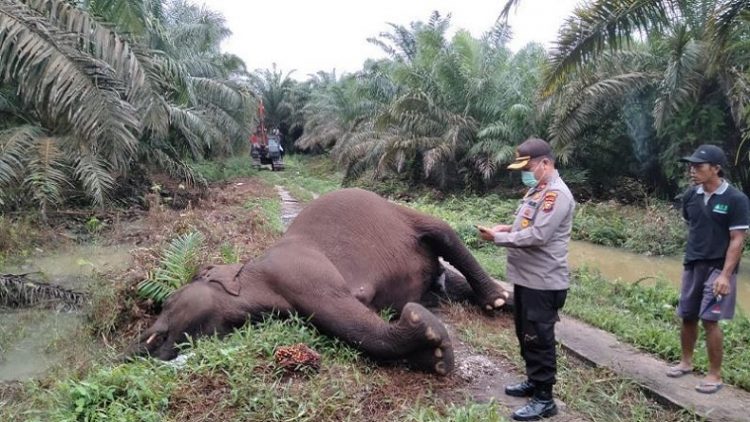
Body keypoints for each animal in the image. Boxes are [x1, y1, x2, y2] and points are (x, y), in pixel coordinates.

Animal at [128, 188, 512, 376]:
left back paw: (496, 299)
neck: (252, 272)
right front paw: (432, 355)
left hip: (402, 214)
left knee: (442, 232)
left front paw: (425, 332)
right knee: (445, 282)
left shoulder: (299, 272)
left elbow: (346, 316)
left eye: (168, 301)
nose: (132, 353)